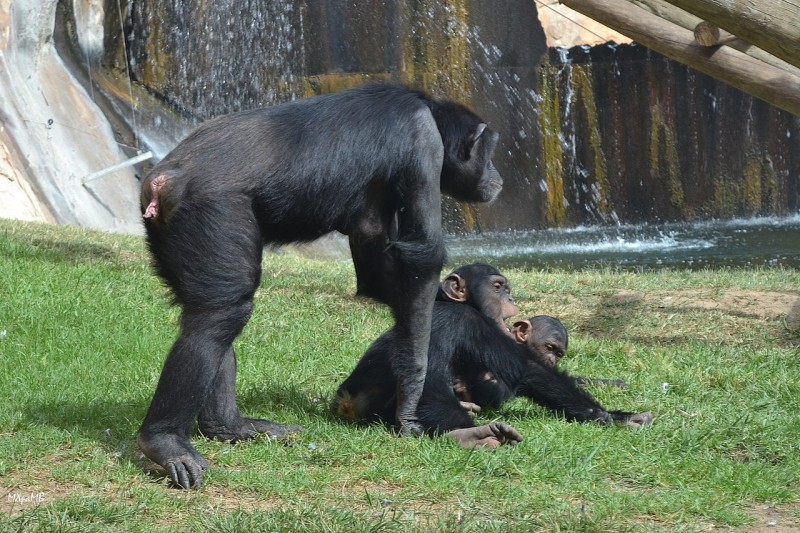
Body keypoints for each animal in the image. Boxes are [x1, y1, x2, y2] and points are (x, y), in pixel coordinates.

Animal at [137, 82, 500, 486]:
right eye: (489, 151)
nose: (497, 173)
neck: (430, 111)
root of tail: (160, 181)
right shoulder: (423, 145)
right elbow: (420, 256)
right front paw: (410, 406)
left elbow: (377, 266)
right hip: (212, 214)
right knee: (223, 313)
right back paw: (167, 441)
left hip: (172, 238)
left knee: (206, 313)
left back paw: (229, 427)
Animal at [334, 262, 652, 444]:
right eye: (497, 287)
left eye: (507, 289)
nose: (509, 297)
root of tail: (345, 403)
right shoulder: (467, 320)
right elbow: (527, 369)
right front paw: (610, 416)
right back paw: (470, 435)